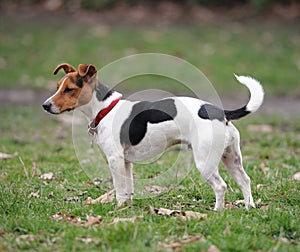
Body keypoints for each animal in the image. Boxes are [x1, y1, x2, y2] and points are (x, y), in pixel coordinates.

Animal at [42, 63, 264, 211]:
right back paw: (249, 207)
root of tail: (221, 112)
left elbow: (119, 188)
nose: (45, 105)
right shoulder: (126, 162)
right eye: (57, 86)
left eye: (69, 89)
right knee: (245, 180)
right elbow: (128, 188)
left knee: (221, 186)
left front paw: (118, 208)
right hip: (231, 158)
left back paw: (218, 211)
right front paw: (127, 207)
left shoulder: (114, 159)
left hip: (205, 161)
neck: (105, 108)